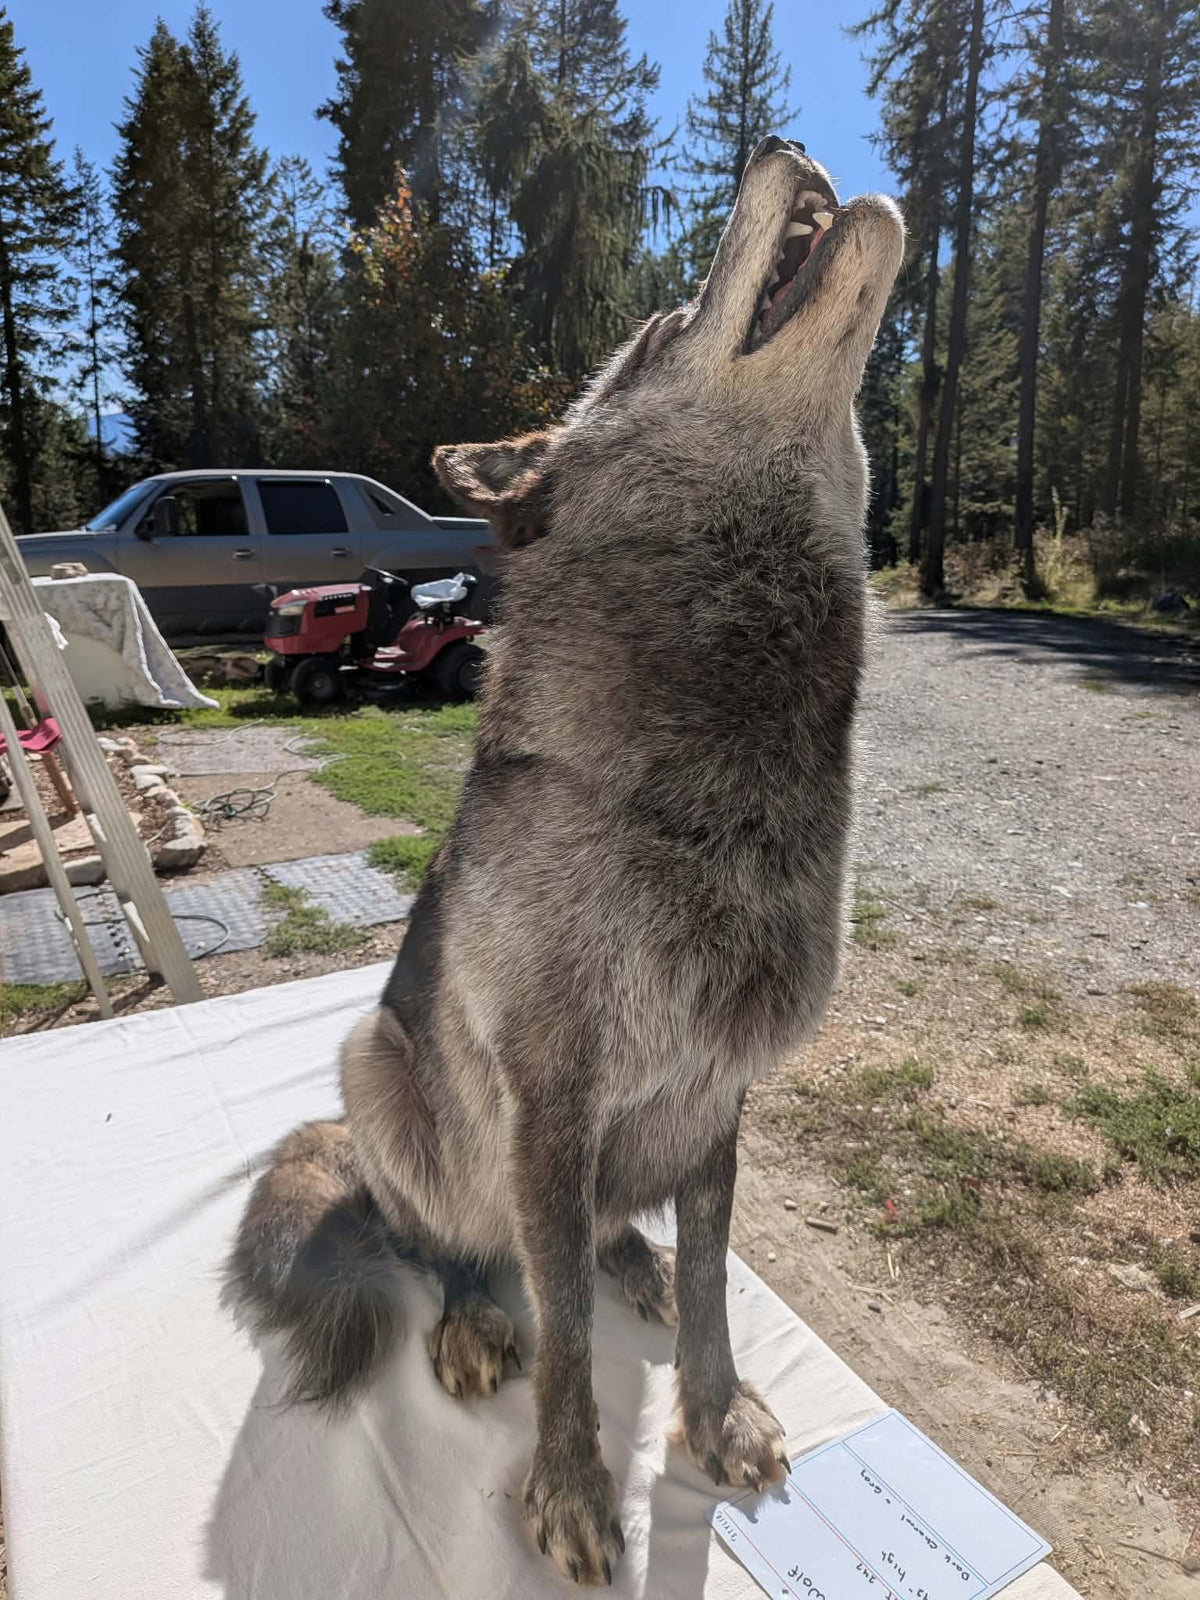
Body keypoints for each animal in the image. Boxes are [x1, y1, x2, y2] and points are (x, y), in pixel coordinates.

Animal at [225, 135, 904, 1586]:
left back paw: (625, 1254)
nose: (781, 147)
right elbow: (569, 1346)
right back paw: (477, 1313)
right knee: (455, 1244)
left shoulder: (719, 1089)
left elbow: (709, 1283)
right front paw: (577, 1492)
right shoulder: (549, 1096)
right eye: (659, 328)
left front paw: (713, 1414)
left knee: (600, 1240)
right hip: (373, 1065)